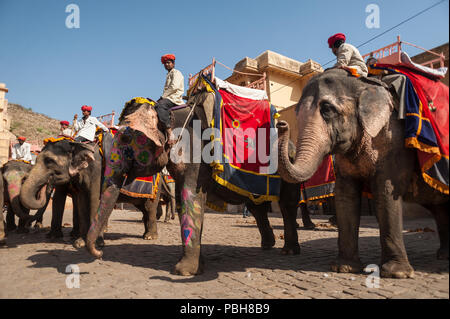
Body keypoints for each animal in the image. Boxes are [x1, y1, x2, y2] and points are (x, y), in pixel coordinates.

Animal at [276, 69, 448, 278]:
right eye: (296, 114)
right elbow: (345, 195)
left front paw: (396, 274)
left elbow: (386, 191)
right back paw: (444, 256)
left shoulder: (394, 139)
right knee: (438, 207)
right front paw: (344, 268)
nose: (281, 124)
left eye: (327, 109)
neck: (364, 85)